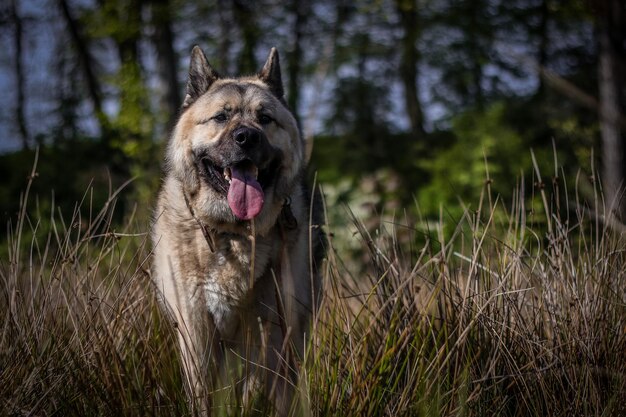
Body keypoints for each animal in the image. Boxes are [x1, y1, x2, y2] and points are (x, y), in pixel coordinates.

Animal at [151, 45, 324, 412]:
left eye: (265, 119)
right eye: (221, 117)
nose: (246, 137)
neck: (232, 233)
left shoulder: (274, 328)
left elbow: (274, 393)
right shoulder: (195, 331)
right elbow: (204, 396)